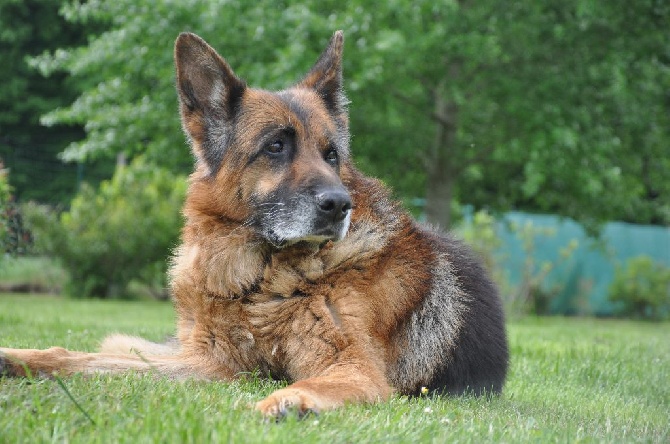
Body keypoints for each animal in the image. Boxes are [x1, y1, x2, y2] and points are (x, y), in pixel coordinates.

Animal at [1, 30, 510, 416]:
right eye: (275, 147)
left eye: (332, 155)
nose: (339, 204)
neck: (260, 279)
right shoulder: (211, 363)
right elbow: (94, 359)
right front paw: (25, 358)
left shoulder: (354, 368)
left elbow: (311, 383)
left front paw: (287, 400)